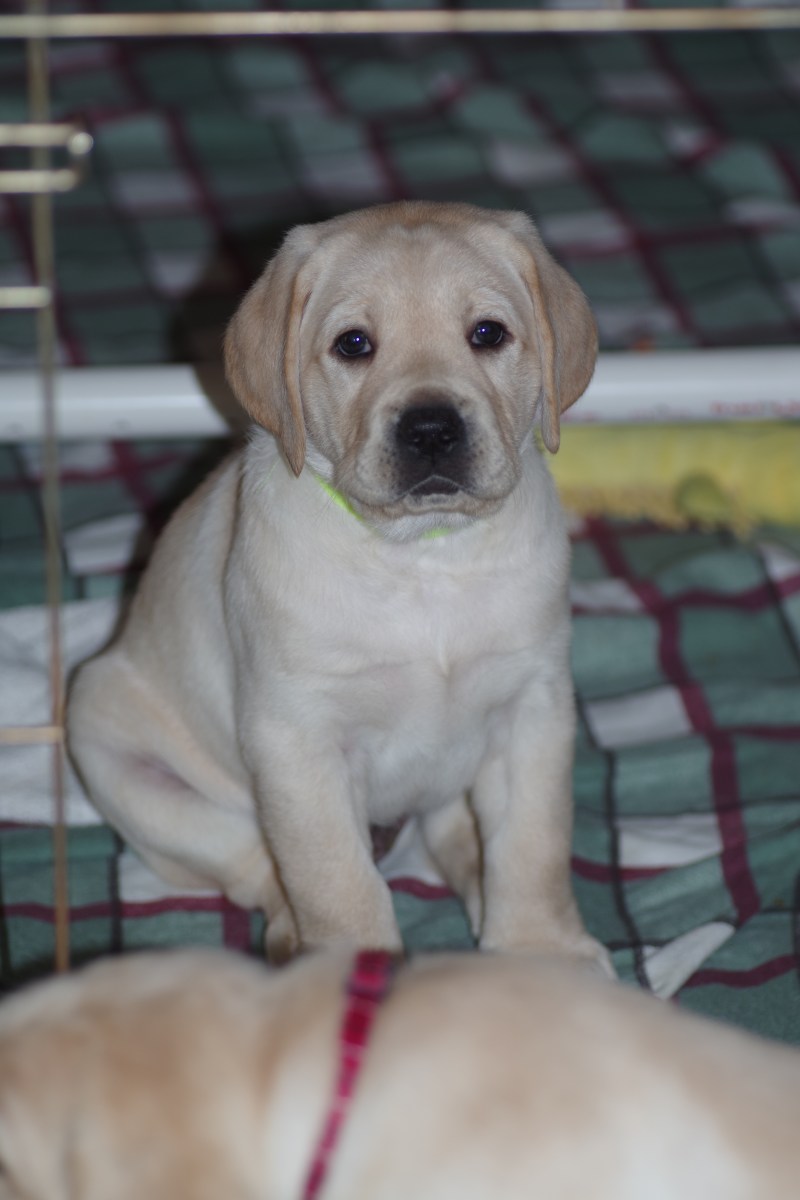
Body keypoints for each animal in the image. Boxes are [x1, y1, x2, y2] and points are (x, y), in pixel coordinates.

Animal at [69, 200, 607, 970]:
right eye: (354, 344)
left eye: (488, 334)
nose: (432, 429)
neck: (422, 558)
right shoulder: (297, 737)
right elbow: (334, 876)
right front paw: (348, 973)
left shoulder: (532, 705)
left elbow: (532, 844)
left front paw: (540, 955)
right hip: (116, 753)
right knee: (252, 865)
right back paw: (292, 938)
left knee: (451, 827)